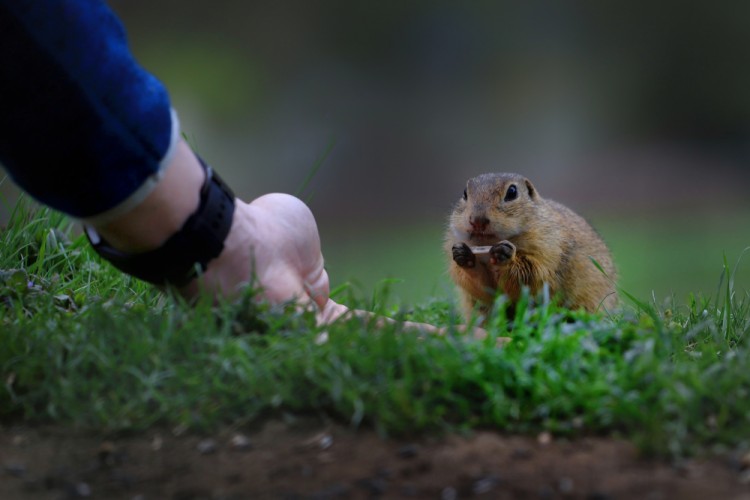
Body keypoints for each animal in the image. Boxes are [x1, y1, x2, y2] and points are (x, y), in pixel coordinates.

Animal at [446, 173, 616, 320]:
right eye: (464, 193)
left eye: (512, 192)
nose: (477, 220)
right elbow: (480, 287)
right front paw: (463, 256)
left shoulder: (548, 248)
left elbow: (532, 275)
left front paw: (505, 255)